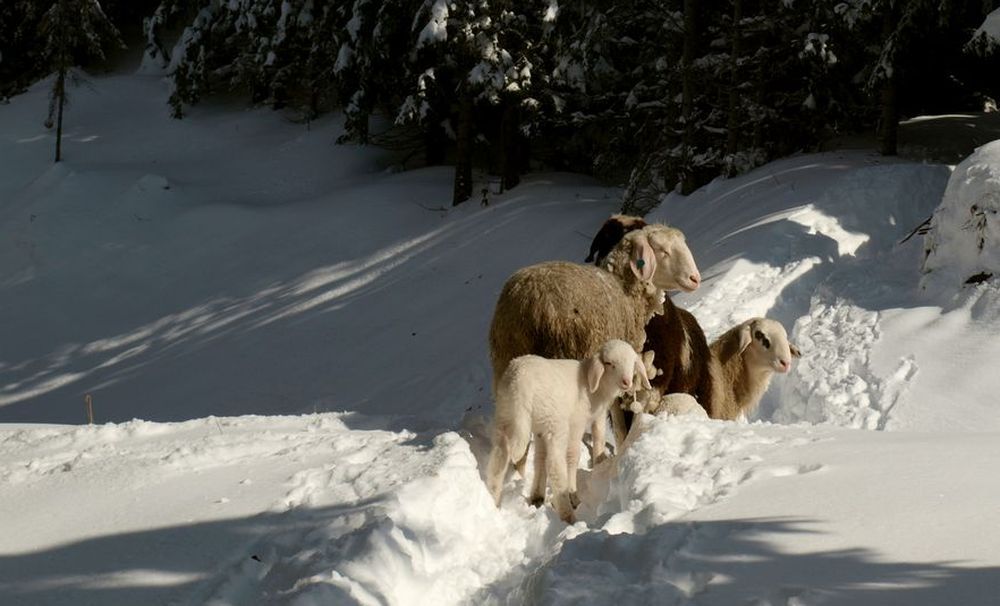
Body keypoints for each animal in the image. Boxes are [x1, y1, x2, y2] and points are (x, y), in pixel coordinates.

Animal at [482, 340, 648, 524]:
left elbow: (539, 458)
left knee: (499, 459)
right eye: (609, 363)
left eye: (633, 363)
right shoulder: (576, 423)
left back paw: (493, 500)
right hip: (555, 422)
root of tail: (520, 383)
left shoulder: (539, 430)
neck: (594, 387)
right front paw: (572, 493)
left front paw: (537, 496)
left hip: (507, 416)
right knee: (554, 464)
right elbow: (572, 456)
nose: (627, 382)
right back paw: (568, 514)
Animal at [488, 226, 700, 464]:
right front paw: (605, 454)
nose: (695, 278)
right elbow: (608, 419)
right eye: (663, 250)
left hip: (506, 361)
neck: (624, 290)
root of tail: (529, 304)